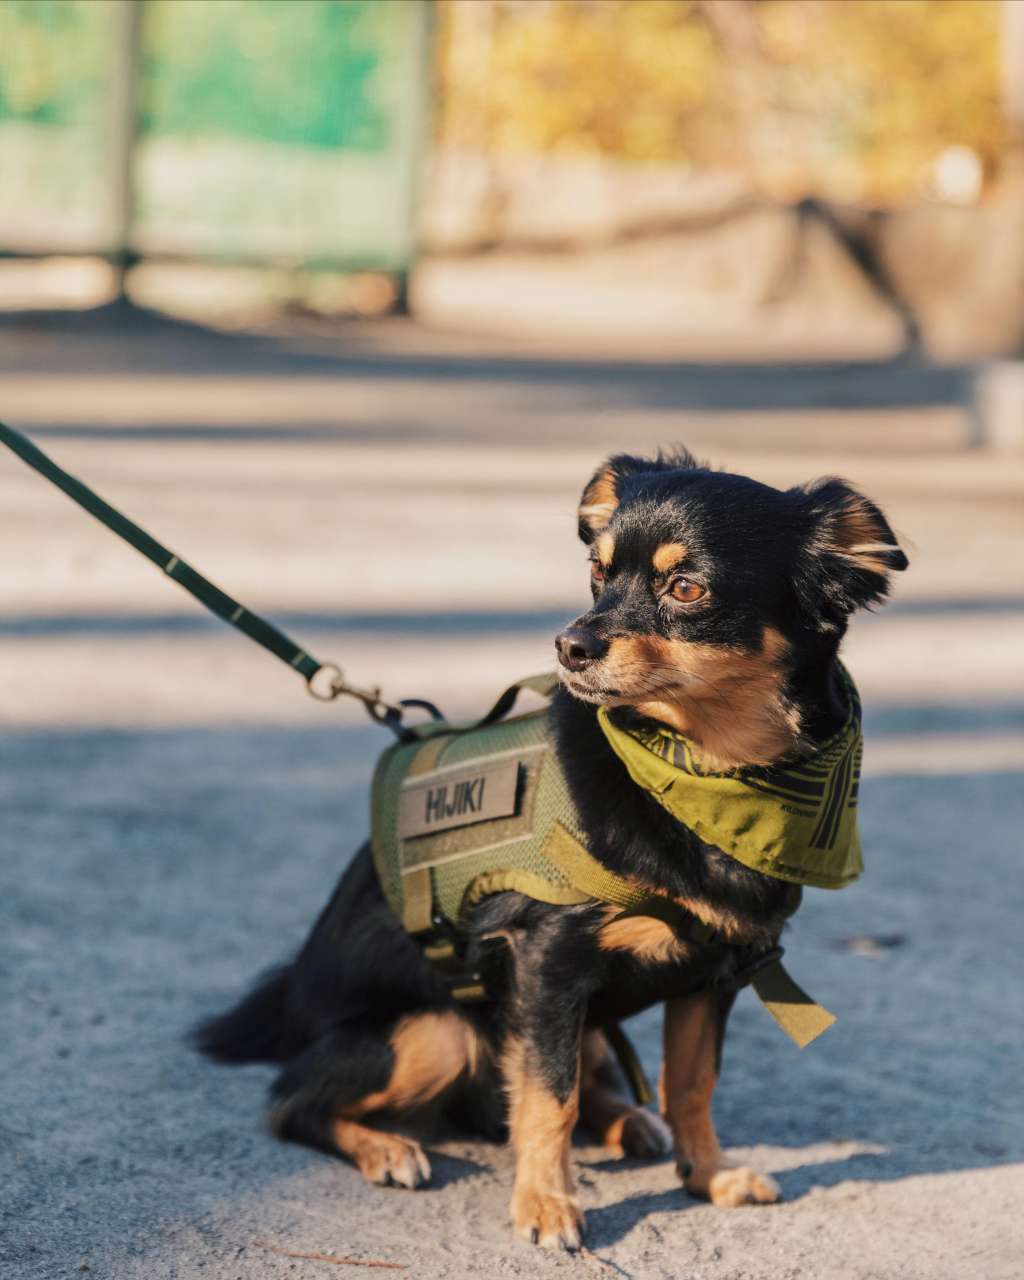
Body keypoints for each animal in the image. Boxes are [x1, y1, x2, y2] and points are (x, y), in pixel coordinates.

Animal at [195, 450, 906, 1249]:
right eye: (597, 573)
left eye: (686, 588)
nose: (570, 645)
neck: (702, 772)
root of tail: (292, 997)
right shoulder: (548, 963)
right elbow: (547, 1099)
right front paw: (544, 1204)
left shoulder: (714, 973)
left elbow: (691, 1084)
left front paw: (708, 1176)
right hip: (439, 1029)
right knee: (294, 1101)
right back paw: (387, 1148)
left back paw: (628, 1123)